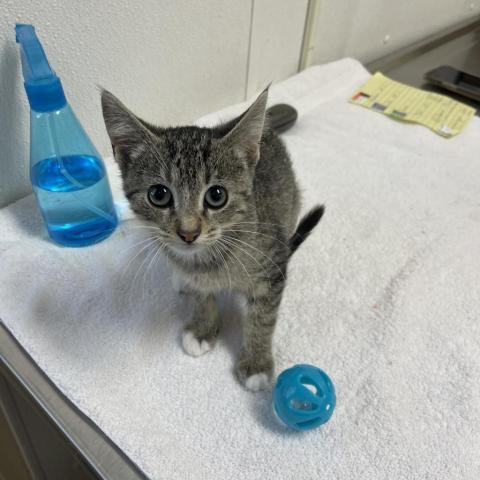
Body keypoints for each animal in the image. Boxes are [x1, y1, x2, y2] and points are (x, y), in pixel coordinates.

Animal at [102, 88, 324, 392]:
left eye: (216, 196)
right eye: (159, 195)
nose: (188, 232)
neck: (208, 259)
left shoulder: (271, 267)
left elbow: (263, 317)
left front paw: (256, 362)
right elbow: (201, 297)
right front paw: (202, 329)